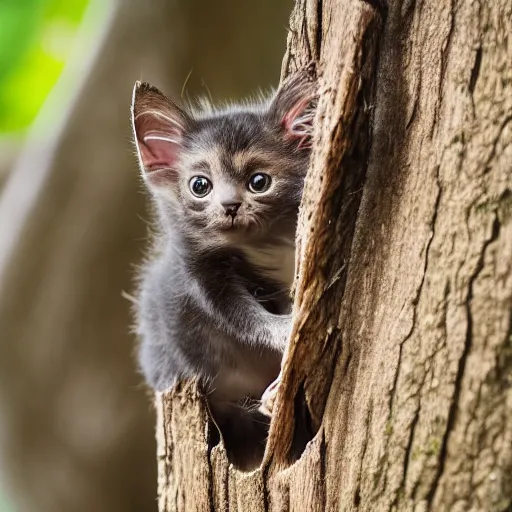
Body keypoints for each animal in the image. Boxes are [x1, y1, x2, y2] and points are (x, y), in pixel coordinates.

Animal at [131, 74, 316, 470]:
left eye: (259, 182)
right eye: (200, 185)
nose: (230, 205)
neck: (262, 243)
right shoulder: (200, 276)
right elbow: (241, 316)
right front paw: (284, 328)